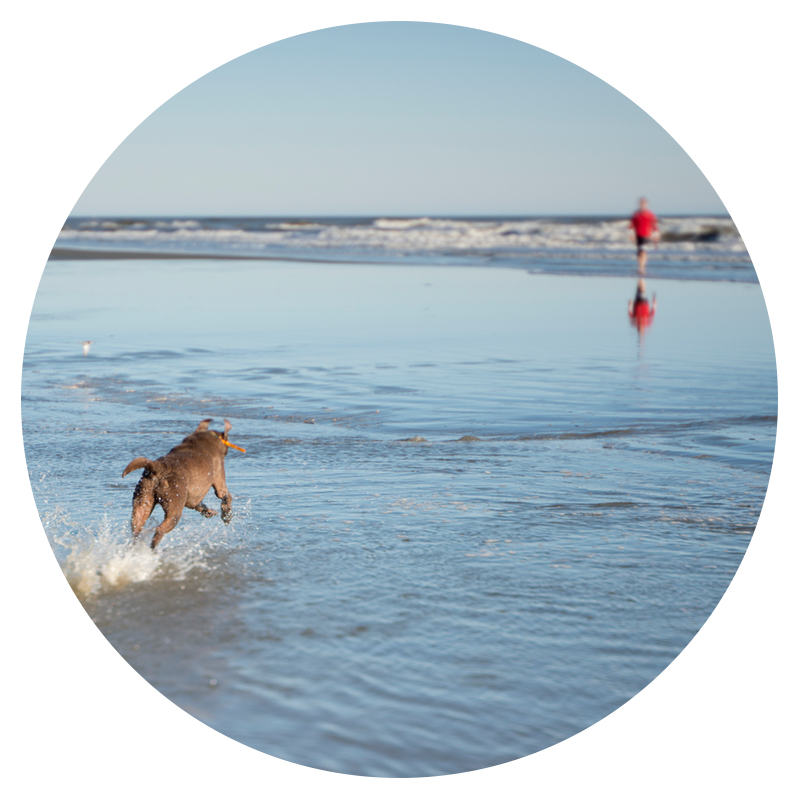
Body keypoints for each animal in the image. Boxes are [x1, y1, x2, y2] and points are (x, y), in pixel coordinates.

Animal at [122, 418, 239, 552]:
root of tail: (160, 468)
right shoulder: (219, 482)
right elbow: (226, 496)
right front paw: (227, 515)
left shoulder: (192, 499)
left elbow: (200, 505)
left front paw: (210, 512)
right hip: (174, 508)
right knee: (160, 530)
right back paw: (153, 550)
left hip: (143, 501)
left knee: (136, 530)